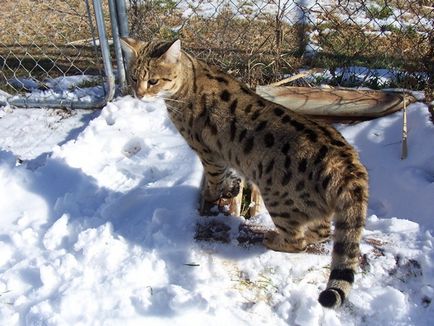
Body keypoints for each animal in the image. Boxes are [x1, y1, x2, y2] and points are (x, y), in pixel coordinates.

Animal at [120, 37, 368, 308]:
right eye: (133, 77)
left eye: (153, 81)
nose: (138, 94)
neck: (187, 81)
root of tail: (350, 165)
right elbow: (227, 178)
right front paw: (231, 188)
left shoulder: (209, 153)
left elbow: (214, 180)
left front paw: (211, 195)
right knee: (323, 231)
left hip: (279, 200)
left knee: (300, 240)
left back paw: (273, 239)